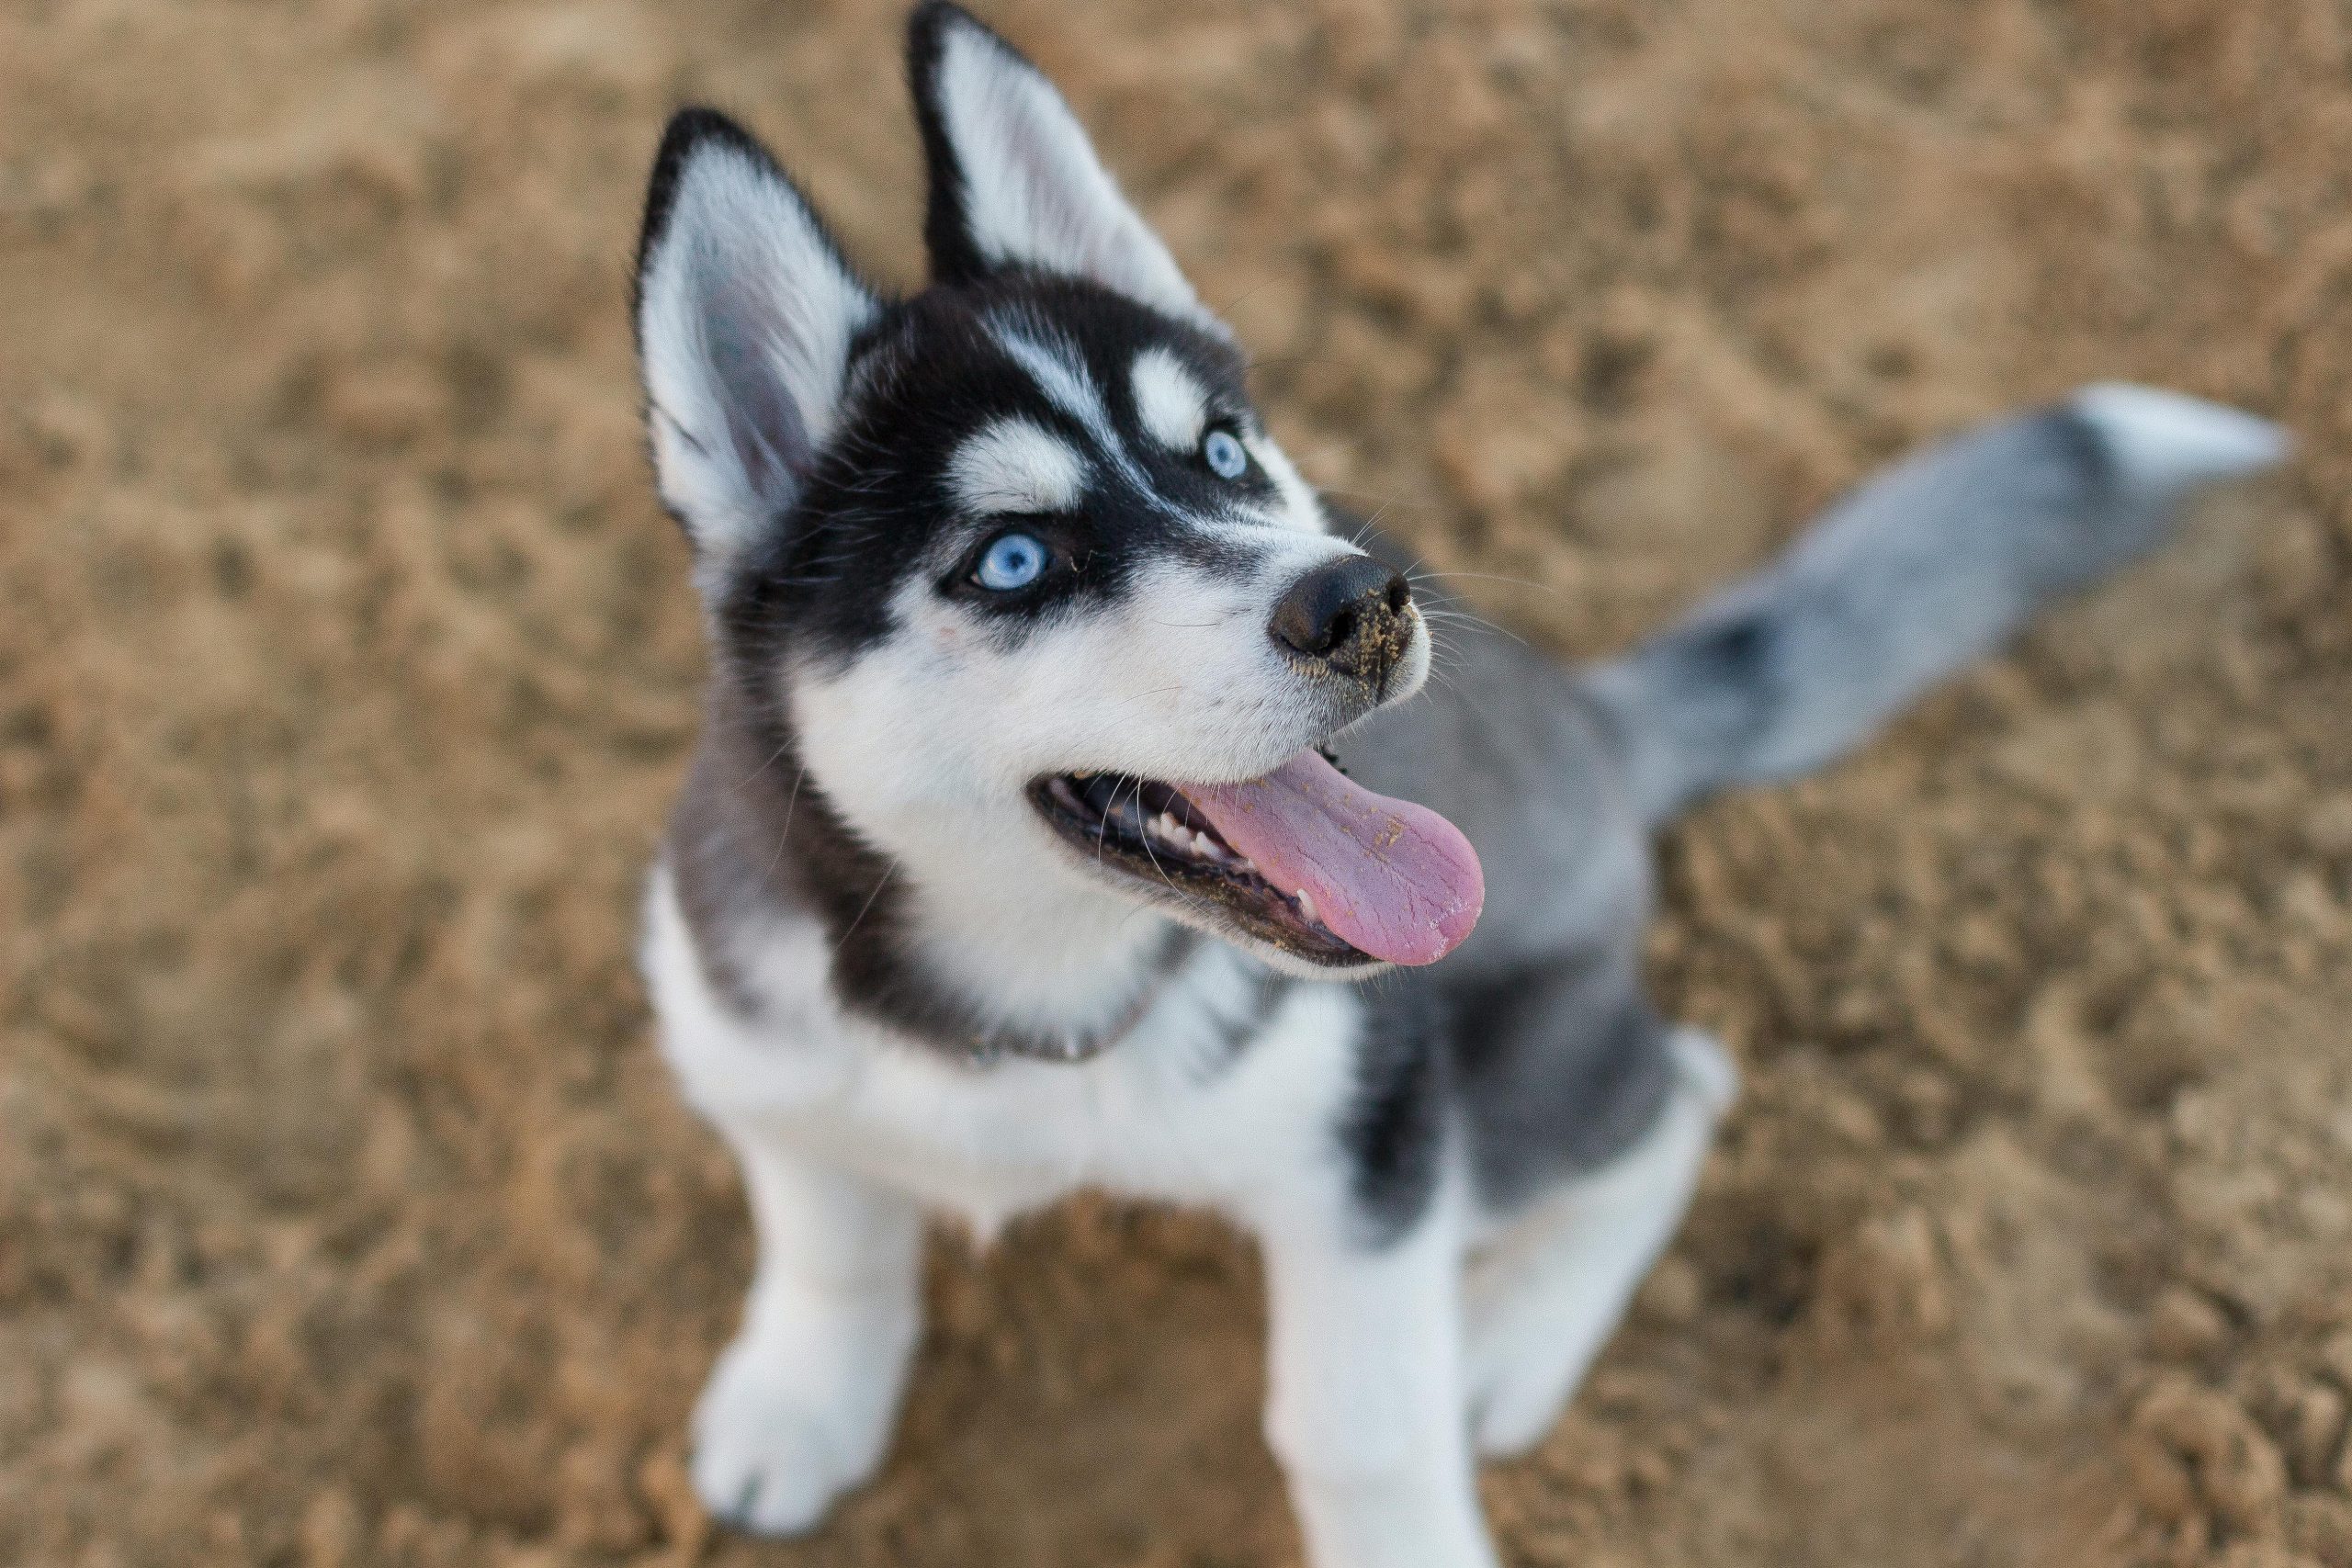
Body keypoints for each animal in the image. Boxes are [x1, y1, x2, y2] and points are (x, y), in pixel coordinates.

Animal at [635, 6, 2286, 1561]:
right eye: (1016, 558)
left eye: (1222, 452)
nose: (1366, 598)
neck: (1029, 1000)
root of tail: (1594, 721)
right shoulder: (756, 1051)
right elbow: (829, 1229)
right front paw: (801, 1396)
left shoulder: (1372, 1145)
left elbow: (1356, 1422)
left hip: (1499, 1092)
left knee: (1684, 1087)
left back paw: (1505, 1333)